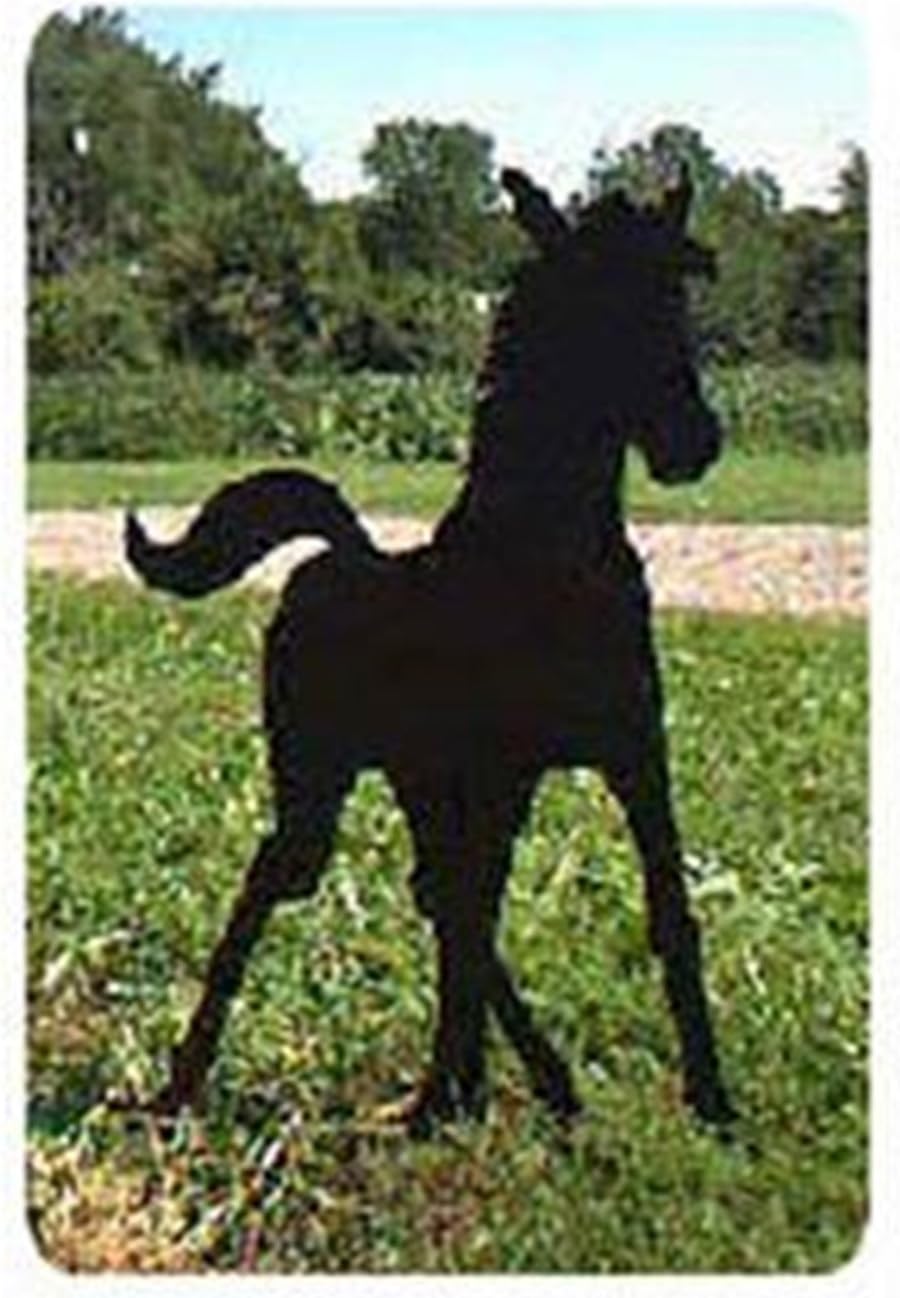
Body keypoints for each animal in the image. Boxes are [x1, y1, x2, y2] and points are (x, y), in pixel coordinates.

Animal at [125, 165, 737, 1135]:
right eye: (596, 309)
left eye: (676, 298)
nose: (693, 442)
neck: (547, 556)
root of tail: (338, 556)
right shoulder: (501, 774)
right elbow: (476, 917)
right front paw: (449, 1094)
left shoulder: (634, 754)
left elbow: (667, 914)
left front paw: (713, 1103)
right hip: (319, 783)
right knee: (286, 877)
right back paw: (185, 1083)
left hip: (418, 780)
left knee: (436, 893)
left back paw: (535, 1085)